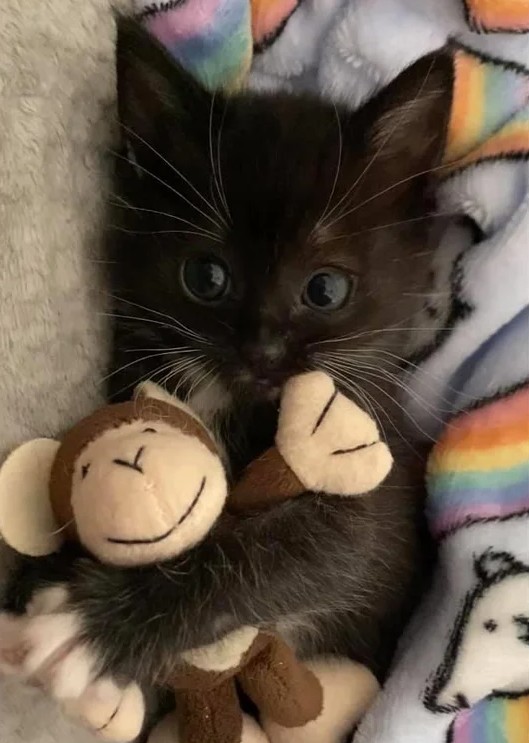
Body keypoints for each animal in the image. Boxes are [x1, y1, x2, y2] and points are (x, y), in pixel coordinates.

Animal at [20, 17, 452, 688]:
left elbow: (315, 548)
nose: (261, 350)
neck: (233, 396)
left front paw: (85, 626)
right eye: (206, 276)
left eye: (325, 290)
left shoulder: (379, 482)